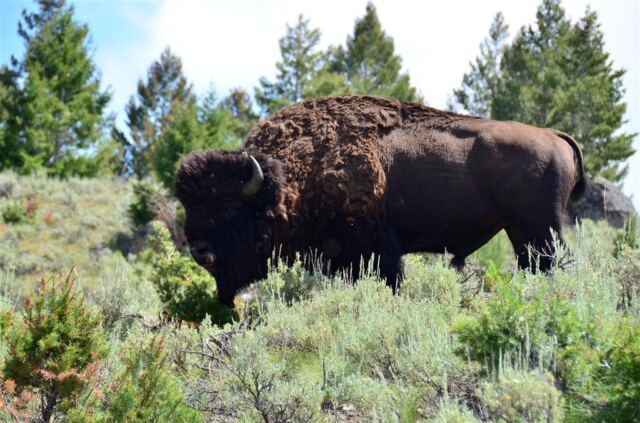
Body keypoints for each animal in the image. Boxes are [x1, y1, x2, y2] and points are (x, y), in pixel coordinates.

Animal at [175, 95, 584, 306]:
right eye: (190, 206)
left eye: (229, 209)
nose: (199, 251)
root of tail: (554, 134)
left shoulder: (376, 248)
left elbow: (390, 279)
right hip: (522, 232)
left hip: (539, 229)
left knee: (550, 264)